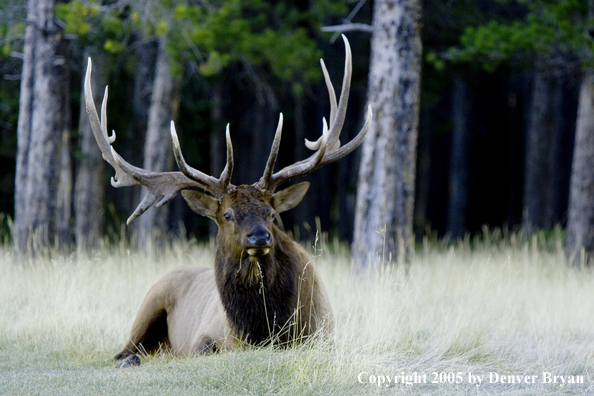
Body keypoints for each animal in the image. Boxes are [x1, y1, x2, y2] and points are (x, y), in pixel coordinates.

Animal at [83, 35, 370, 366]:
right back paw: (131, 359)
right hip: (149, 301)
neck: (265, 327)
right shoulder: (210, 335)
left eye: (271, 213)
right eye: (228, 215)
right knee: (124, 350)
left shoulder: (323, 334)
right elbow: (204, 348)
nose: (259, 236)